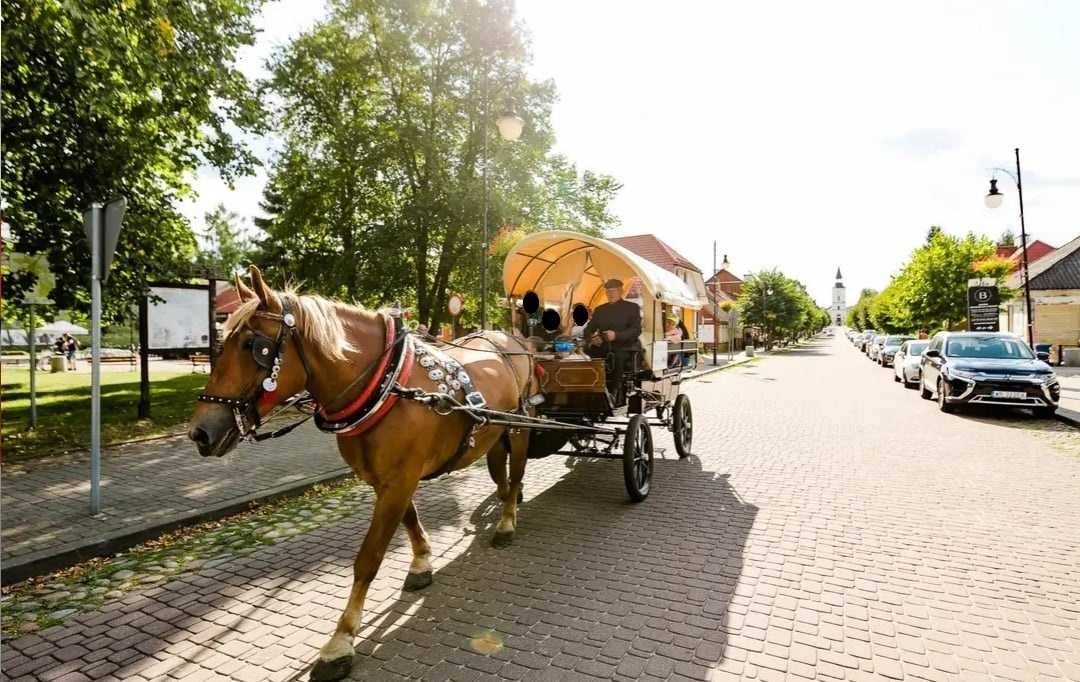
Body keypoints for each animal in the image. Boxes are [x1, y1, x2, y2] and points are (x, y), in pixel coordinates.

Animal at [192, 268, 537, 682]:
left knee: (515, 476)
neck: (389, 387)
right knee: (502, 476)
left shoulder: (400, 479)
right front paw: (422, 562)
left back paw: (507, 523)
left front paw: (340, 641)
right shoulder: (385, 480)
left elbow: (368, 558)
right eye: (222, 342)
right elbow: (410, 520)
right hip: (494, 433)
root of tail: (510, 338)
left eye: (253, 346)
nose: (200, 432)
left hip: (518, 428)